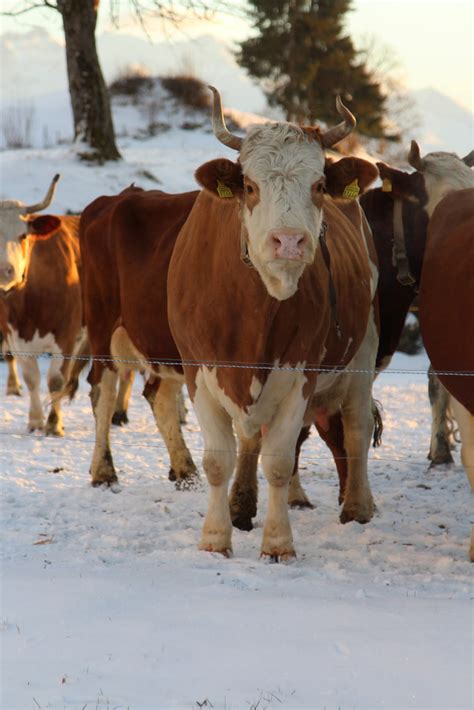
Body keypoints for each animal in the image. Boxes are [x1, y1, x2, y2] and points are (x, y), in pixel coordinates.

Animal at [0, 177, 83, 434]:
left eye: (23, 236)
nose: (5, 272)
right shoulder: (14, 336)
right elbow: (31, 378)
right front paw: (35, 420)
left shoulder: (66, 334)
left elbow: (56, 380)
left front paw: (54, 424)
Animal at [167, 86, 378, 560]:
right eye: (249, 186)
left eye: (318, 186)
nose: (289, 241)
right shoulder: (198, 372)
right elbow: (218, 460)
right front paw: (216, 537)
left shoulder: (300, 374)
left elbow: (281, 459)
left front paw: (278, 544)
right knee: (251, 440)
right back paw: (241, 508)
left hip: (363, 351)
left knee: (357, 428)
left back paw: (358, 507)